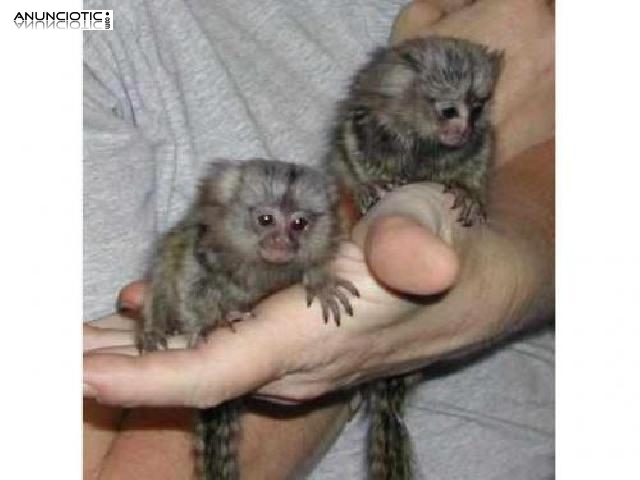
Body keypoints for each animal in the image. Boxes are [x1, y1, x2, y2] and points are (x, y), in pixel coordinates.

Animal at [136, 158, 359, 480]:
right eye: (266, 220)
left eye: (299, 224)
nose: (281, 241)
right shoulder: (204, 245)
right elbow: (191, 278)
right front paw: (208, 323)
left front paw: (320, 282)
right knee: (165, 264)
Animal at [327, 36, 503, 479]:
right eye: (448, 110)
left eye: (477, 107)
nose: (462, 129)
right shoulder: (362, 126)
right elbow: (350, 155)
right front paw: (368, 188)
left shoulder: (476, 147)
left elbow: (476, 162)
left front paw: (468, 194)